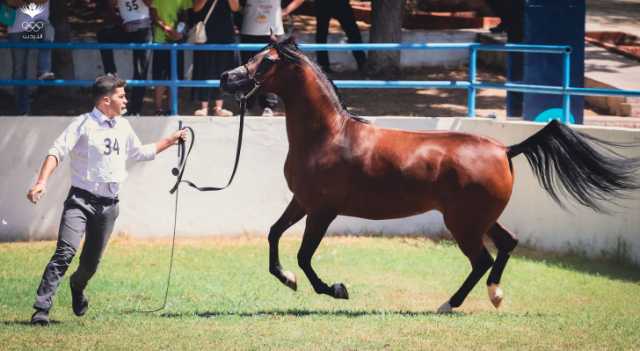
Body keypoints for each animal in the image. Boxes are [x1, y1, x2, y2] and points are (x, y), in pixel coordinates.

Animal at [218, 37, 636, 314]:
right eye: (254, 56)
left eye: (266, 61)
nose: (226, 77)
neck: (329, 136)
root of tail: (504, 149)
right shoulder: (302, 202)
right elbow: (274, 235)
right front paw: (287, 278)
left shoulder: (322, 210)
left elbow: (305, 256)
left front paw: (336, 289)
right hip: (480, 219)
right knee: (507, 244)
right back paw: (495, 295)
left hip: (463, 223)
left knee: (482, 260)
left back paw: (449, 304)